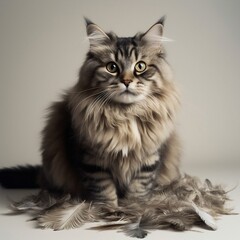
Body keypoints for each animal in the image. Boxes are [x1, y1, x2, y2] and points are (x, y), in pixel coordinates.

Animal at [0, 17, 181, 207]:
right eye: (112, 67)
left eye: (140, 66)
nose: (126, 81)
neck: (124, 115)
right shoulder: (91, 160)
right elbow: (104, 189)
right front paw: (110, 210)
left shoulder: (150, 159)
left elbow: (138, 189)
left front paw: (134, 208)